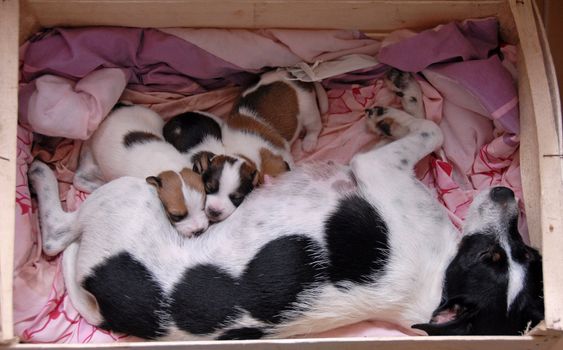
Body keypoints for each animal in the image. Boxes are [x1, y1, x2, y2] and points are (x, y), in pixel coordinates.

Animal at [28, 73, 544, 340]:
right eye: (516, 254)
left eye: (494, 256)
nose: (507, 194)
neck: (438, 281)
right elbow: (427, 123)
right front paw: (400, 105)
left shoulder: (374, 165)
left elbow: (431, 130)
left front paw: (397, 114)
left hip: (127, 195)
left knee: (55, 237)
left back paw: (39, 174)